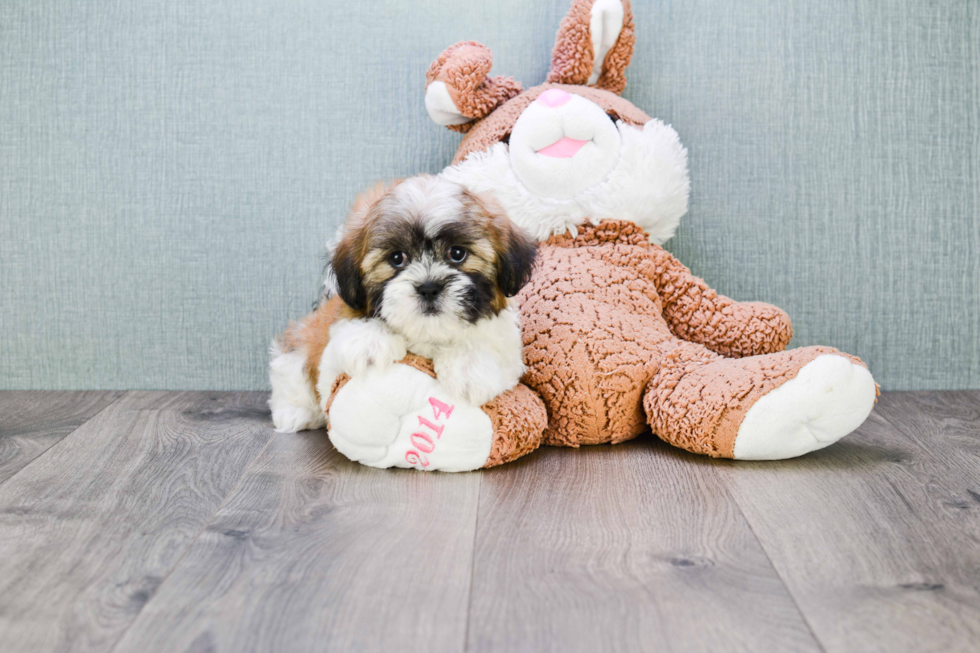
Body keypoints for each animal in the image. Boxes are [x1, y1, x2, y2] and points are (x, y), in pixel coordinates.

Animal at [270, 173, 536, 432]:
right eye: (397, 258)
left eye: (457, 253)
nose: (429, 287)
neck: (428, 335)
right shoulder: (332, 363)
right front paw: (370, 341)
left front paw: (468, 366)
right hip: (301, 341)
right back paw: (294, 413)